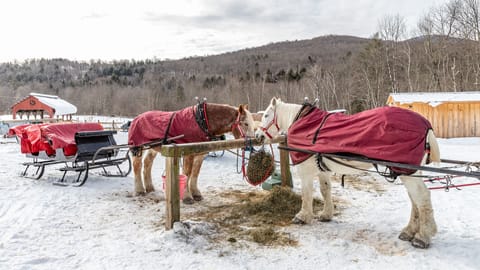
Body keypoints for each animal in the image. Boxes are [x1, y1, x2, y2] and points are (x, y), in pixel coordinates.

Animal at [127, 102, 255, 204]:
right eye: (245, 123)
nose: (252, 144)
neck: (202, 122)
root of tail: (137, 118)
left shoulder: (200, 154)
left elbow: (195, 173)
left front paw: (196, 194)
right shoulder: (188, 154)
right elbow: (187, 174)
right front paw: (187, 197)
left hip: (153, 148)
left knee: (147, 163)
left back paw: (149, 188)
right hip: (137, 148)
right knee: (137, 166)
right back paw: (140, 190)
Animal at [256, 97, 440, 249]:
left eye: (266, 115)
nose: (258, 136)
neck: (304, 126)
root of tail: (426, 125)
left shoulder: (306, 170)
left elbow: (306, 194)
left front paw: (303, 216)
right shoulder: (322, 169)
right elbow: (325, 190)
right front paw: (326, 214)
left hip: (407, 172)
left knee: (422, 197)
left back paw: (422, 237)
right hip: (408, 172)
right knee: (415, 199)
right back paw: (409, 231)